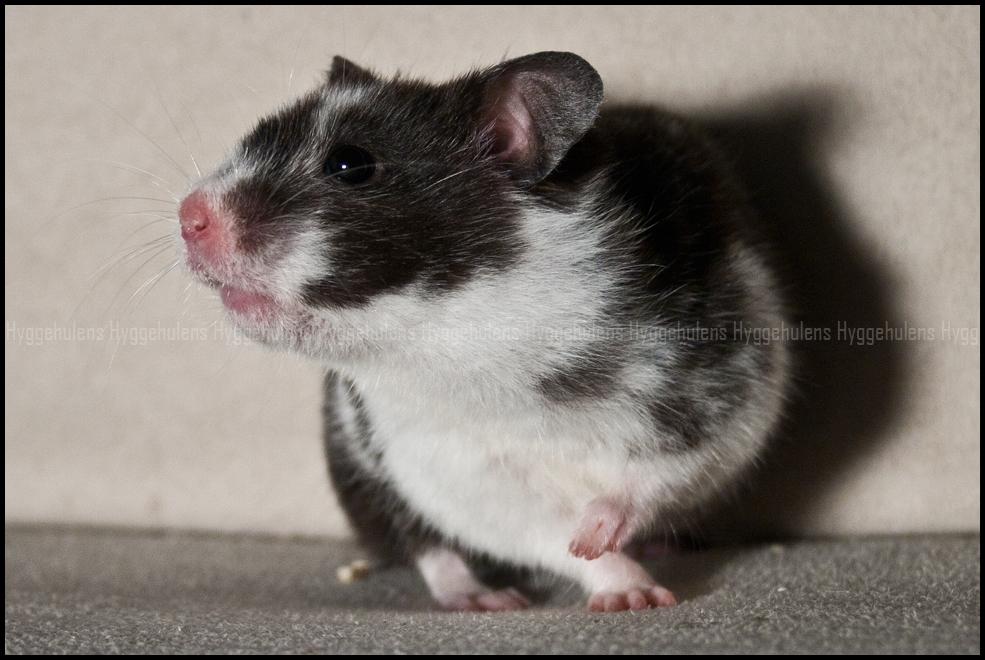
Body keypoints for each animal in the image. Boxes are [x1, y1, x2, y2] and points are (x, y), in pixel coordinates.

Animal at [177, 52, 790, 612]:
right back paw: (483, 599)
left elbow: (653, 475)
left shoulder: (721, 390)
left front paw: (610, 551)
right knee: (426, 545)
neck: (474, 341)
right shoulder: (443, 462)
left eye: (350, 164)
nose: (188, 217)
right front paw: (628, 591)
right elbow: (539, 530)